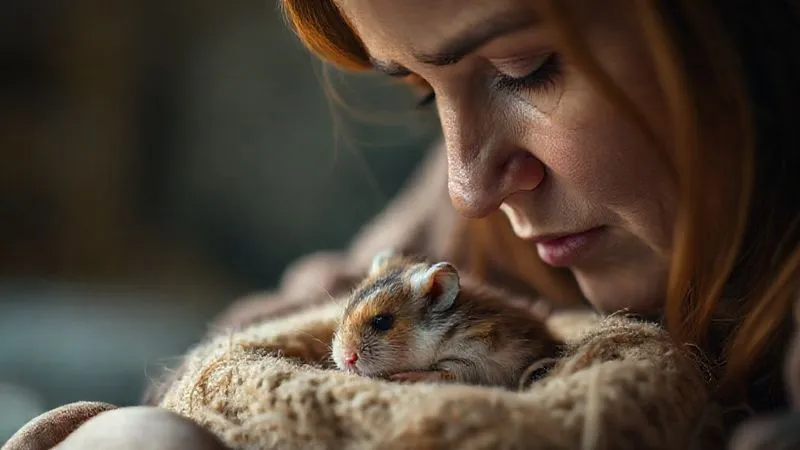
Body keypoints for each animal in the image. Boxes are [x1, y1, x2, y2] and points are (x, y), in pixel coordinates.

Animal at [331, 249, 563, 389]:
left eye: (382, 322)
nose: (345, 359)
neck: (437, 335)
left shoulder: (476, 359)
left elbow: (444, 372)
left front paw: (405, 377)